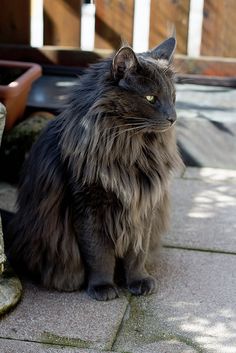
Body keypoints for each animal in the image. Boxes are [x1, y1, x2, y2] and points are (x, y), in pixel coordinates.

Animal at [5, 36, 183, 300]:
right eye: (151, 98)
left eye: (173, 97)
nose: (173, 117)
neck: (130, 148)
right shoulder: (87, 205)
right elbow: (99, 254)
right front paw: (102, 287)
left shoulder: (144, 204)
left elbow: (137, 253)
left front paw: (138, 281)